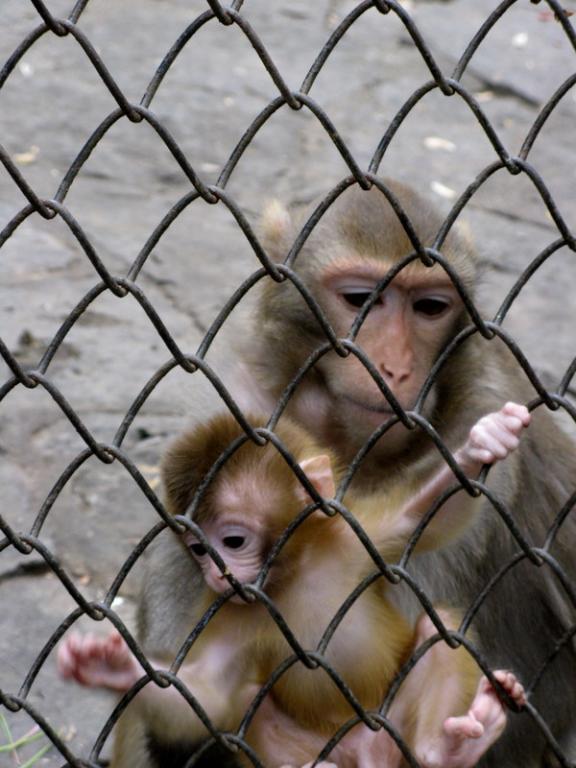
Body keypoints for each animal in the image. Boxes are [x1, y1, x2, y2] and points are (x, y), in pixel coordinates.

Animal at [59, 402, 532, 768]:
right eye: (197, 549)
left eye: (232, 541)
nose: (213, 573)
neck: (294, 572)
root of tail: (371, 751)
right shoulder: (233, 608)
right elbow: (204, 696)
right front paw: (113, 667)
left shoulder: (351, 533)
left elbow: (427, 516)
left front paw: (483, 443)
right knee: (250, 702)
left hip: (393, 726)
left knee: (442, 632)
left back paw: (445, 750)